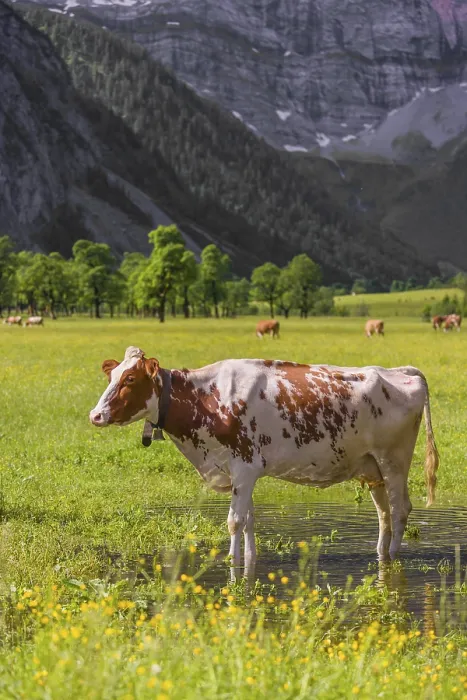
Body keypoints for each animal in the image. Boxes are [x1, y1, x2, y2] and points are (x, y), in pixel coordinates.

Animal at [89, 347, 439, 578]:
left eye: (130, 379)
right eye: (112, 376)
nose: (95, 415)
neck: (208, 398)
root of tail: (400, 371)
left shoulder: (243, 468)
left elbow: (234, 521)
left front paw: (232, 565)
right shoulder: (242, 473)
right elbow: (249, 521)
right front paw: (248, 560)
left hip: (394, 461)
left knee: (400, 509)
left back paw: (392, 557)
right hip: (371, 468)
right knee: (384, 514)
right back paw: (380, 554)